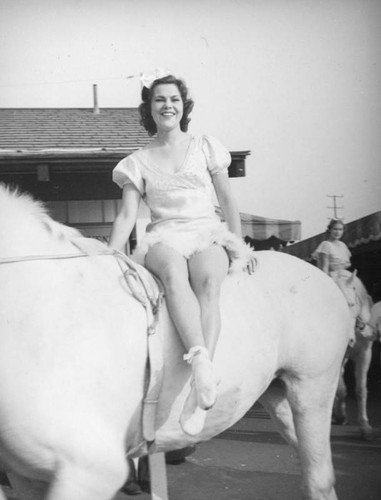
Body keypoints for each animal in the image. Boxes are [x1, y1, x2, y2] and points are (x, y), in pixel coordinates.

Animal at [0, 185, 352, 500]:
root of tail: (323, 278)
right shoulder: (28, 478)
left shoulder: (91, 470)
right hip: (278, 393)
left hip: (312, 388)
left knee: (319, 478)